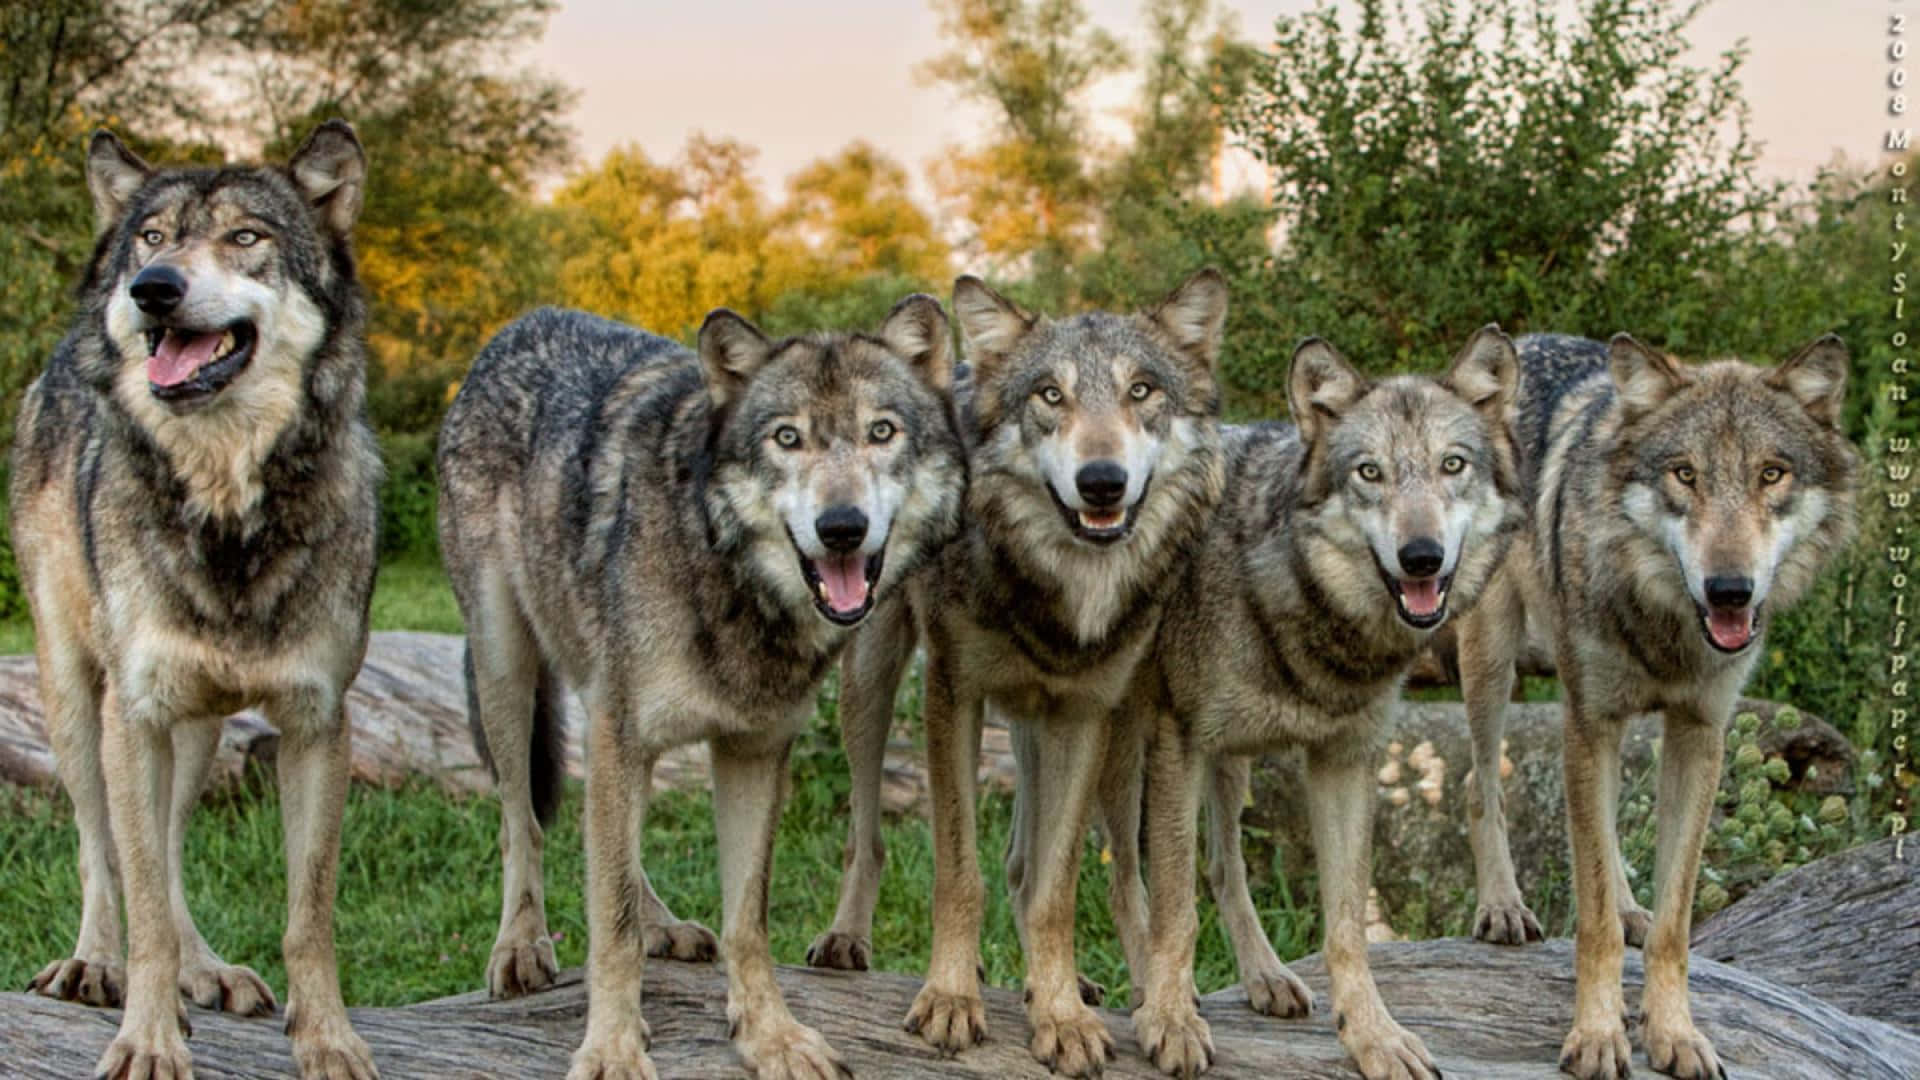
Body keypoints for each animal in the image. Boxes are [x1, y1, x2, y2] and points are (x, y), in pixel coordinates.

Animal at [13, 122, 384, 1068]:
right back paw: (94, 965)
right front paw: (147, 1042)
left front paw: (327, 1040)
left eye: (245, 236)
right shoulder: (134, 716)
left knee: (171, 848)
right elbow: (138, 895)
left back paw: (206, 971)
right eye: (153, 237)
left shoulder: (317, 725)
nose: (152, 288)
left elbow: (308, 916)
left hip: (200, 730)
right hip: (80, 706)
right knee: (101, 847)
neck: (225, 510)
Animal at [439, 295, 967, 1076]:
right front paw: (612, 1048)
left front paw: (769, 1035)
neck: (726, 577)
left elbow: (746, 918)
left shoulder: (752, 751)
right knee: (520, 820)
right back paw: (521, 947)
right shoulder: (620, 734)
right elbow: (611, 924)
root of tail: (521, 322)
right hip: (507, 667)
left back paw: (664, 927)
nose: (842, 527)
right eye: (787, 438)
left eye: (882, 431)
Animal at [798, 267, 1221, 1068]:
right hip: (871, 685)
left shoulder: (1084, 715)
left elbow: (1056, 890)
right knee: (866, 833)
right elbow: (959, 874)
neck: (1057, 592)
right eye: (1050, 395)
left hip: (1097, 739)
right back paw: (844, 938)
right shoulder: (951, 696)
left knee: (1068, 874)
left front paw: (1061, 1014)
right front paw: (950, 998)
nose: (1101, 481)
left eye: (1142, 391)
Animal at [1113, 330, 1528, 1076]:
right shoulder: (1177, 742)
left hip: (1230, 764)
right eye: (1369, 473)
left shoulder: (1344, 761)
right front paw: (1170, 1019)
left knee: (1221, 865)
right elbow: (1173, 908)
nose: (1421, 557)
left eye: (1452, 465)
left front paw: (1373, 1037)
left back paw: (1264, 977)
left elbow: (1346, 925)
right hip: (1117, 753)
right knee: (1099, 876)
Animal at [1451, 332, 1858, 1068]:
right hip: (1492, 659)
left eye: (1772, 474)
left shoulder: (1699, 732)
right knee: (1478, 781)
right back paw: (1502, 908)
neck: (1667, 623)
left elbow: (1673, 921)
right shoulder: (1592, 719)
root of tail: (1521, 340)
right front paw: (1596, 1035)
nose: (1730, 589)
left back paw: (1626, 907)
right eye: (1685, 475)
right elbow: (1592, 924)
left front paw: (1675, 1033)